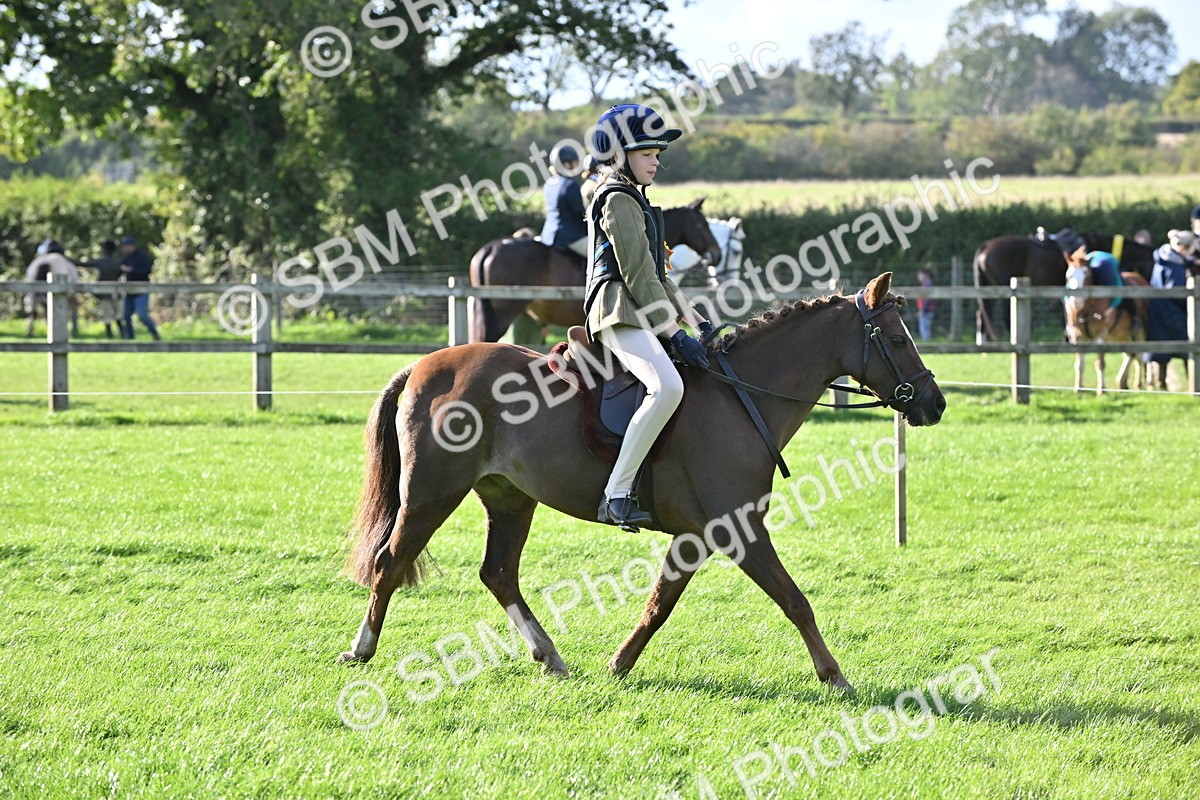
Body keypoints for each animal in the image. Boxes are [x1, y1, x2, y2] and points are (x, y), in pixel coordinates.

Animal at [337, 272, 946, 692]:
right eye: (897, 339)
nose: (935, 403)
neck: (741, 397)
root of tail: (424, 366)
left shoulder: (697, 537)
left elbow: (660, 603)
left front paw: (619, 664)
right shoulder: (740, 530)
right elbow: (795, 600)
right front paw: (834, 675)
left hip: (510, 501)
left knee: (499, 574)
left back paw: (549, 656)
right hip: (431, 495)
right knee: (389, 562)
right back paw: (361, 650)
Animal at [1063, 251, 1149, 396]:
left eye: (1086, 274)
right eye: (1068, 276)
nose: (1077, 301)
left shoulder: (1100, 336)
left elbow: (1100, 363)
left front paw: (1102, 389)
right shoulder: (1078, 337)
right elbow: (1079, 364)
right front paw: (1079, 388)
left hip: (1140, 332)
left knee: (1140, 356)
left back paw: (1142, 384)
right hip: (1119, 336)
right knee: (1130, 355)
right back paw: (1122, 382)